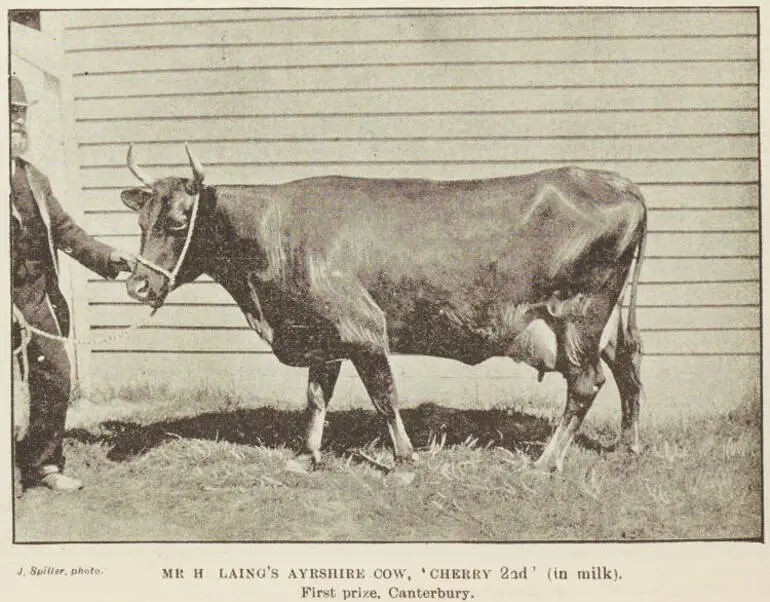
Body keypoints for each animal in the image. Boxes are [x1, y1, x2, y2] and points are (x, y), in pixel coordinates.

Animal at [120, 143, 644, 472]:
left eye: (178, 221)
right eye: (141, 221)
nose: (137, 285)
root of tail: (618, 182)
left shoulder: (363, 328)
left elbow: (384, 396)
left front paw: (405, 461)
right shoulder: (323, 335)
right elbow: (316, 397)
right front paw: (305, 457)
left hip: (579, 314)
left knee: (586, 383)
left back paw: (546, 462)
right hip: (605, 320)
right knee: (628, 366)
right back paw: (626, 445)